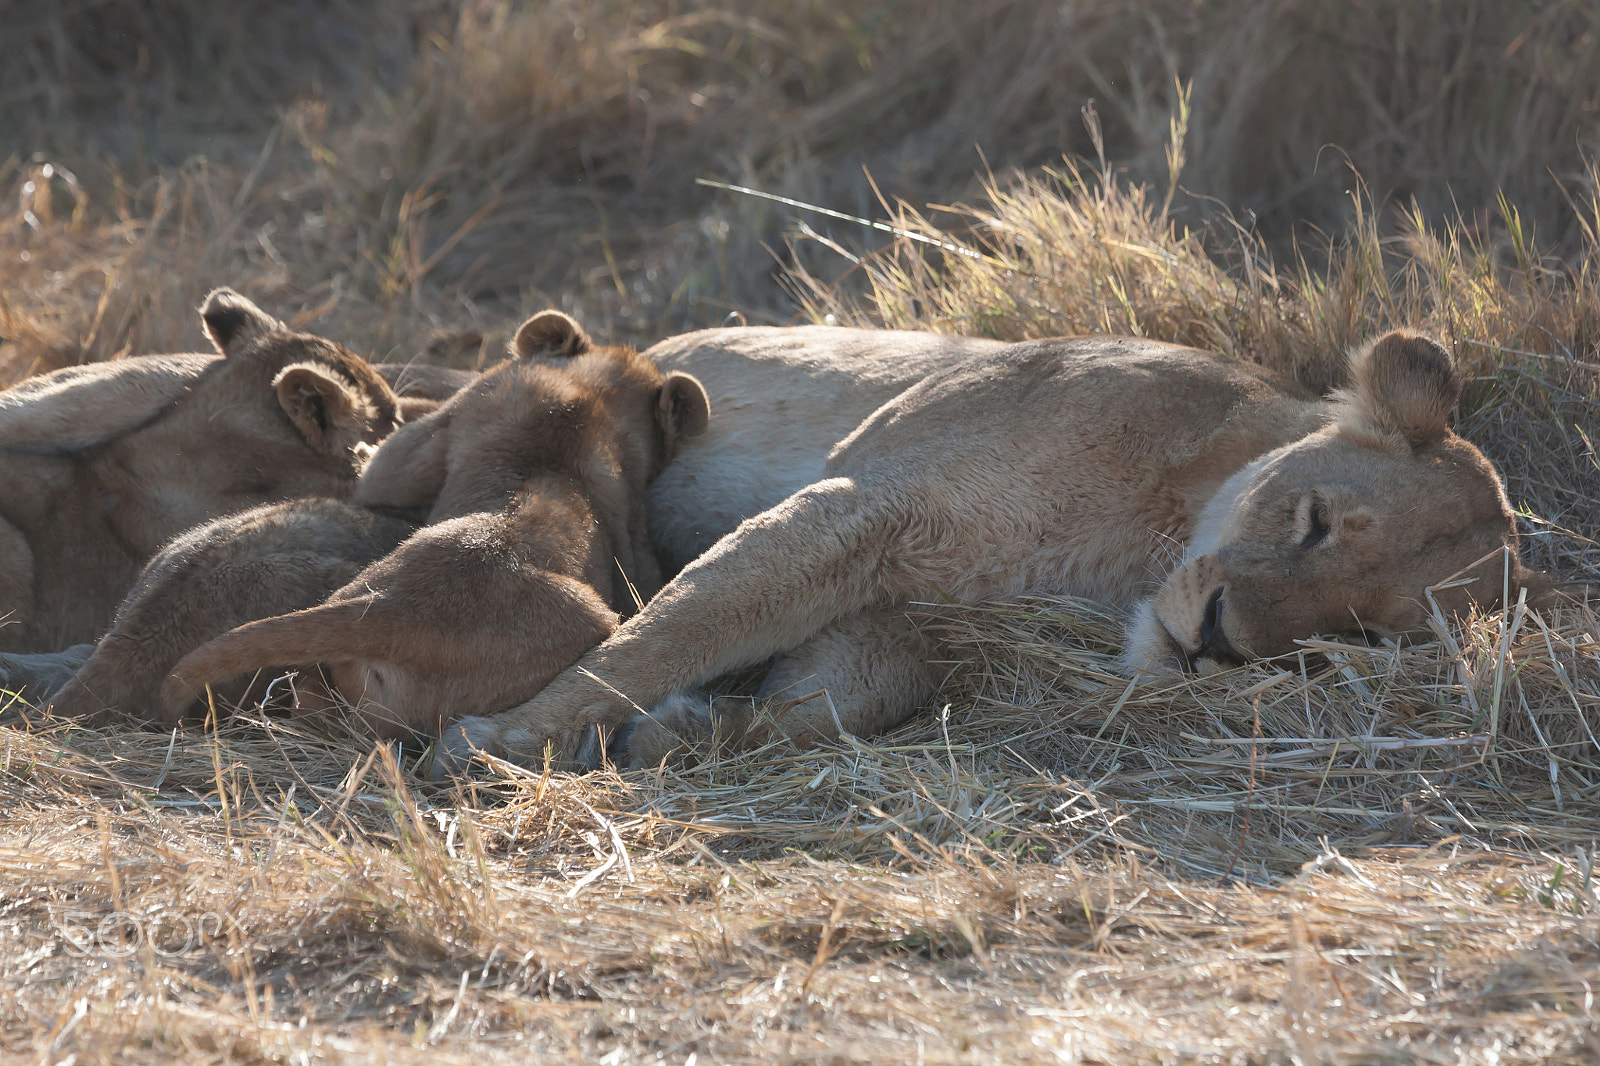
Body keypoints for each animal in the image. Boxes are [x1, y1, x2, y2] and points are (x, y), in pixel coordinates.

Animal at [426, 327, 1563, 775]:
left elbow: (842, 695)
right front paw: (500, 740)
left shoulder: (906, 608)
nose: (1216, 643)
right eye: (1316, 521)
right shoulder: (866, 503)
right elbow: (670, 632)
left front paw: (687, 730)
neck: (1139, 547)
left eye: (1358, 636)